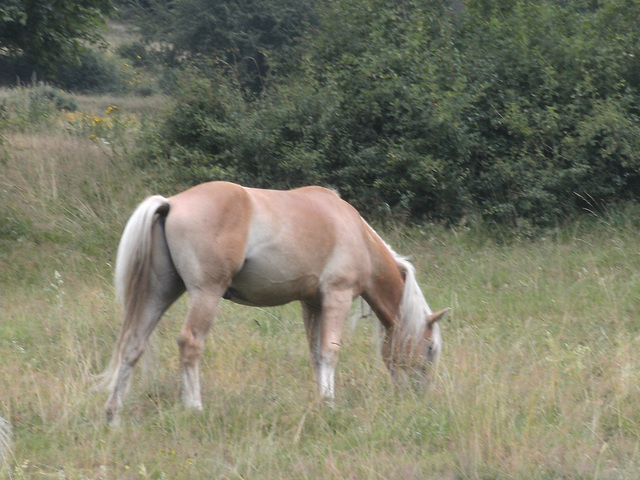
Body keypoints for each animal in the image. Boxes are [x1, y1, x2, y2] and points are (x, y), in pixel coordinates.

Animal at [101, 180, 450, 424]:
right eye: (430, 348)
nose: (418, 394)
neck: (357, 234)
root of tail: (170, 203)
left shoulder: (312, 304)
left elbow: (316, 355)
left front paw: (320, 400)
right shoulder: (336, 297)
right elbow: (330, 352)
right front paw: (329, 404)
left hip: (159, 293)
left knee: (132, 344)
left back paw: (113, 415)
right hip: (205, 294)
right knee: (190, 343)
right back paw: (194, 407)